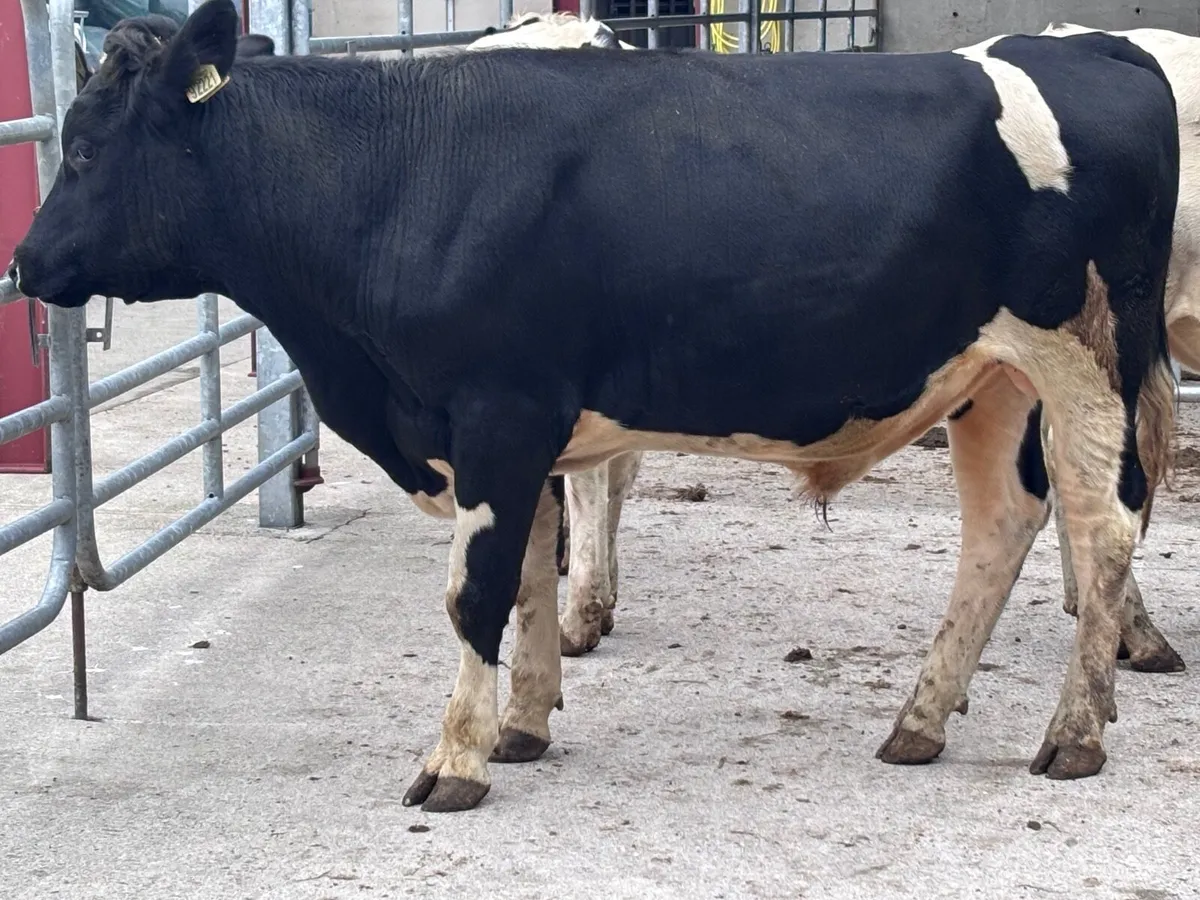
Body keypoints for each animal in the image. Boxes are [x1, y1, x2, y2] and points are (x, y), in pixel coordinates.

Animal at [9, 0, 1179, 812]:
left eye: (87, 147)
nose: (24, 265)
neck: (393, 178)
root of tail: (1094, 48)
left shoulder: (496, 411)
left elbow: (476, 593)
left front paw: (455, 759)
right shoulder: (515, 435)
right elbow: (532, 575)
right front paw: (520, 726)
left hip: (1086, 365)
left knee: (1104, 526)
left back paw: (1075, 734)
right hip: (991, 380)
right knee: (1001, 527)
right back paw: (920, 720)